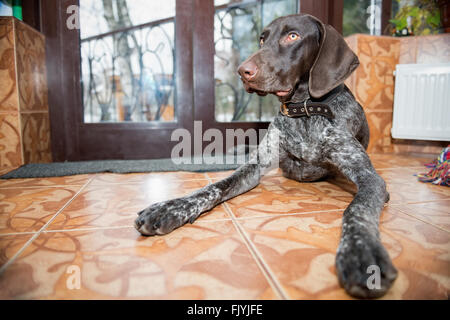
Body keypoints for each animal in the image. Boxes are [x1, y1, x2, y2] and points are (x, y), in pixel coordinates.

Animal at [134, 13, 398, 298]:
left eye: (292, 36)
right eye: (262, 39)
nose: (243, 71)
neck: (305, 110)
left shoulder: (369, 177)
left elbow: (356, 210)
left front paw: (361, 252)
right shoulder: (255, 166)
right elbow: (214, 186)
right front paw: (169, 207)